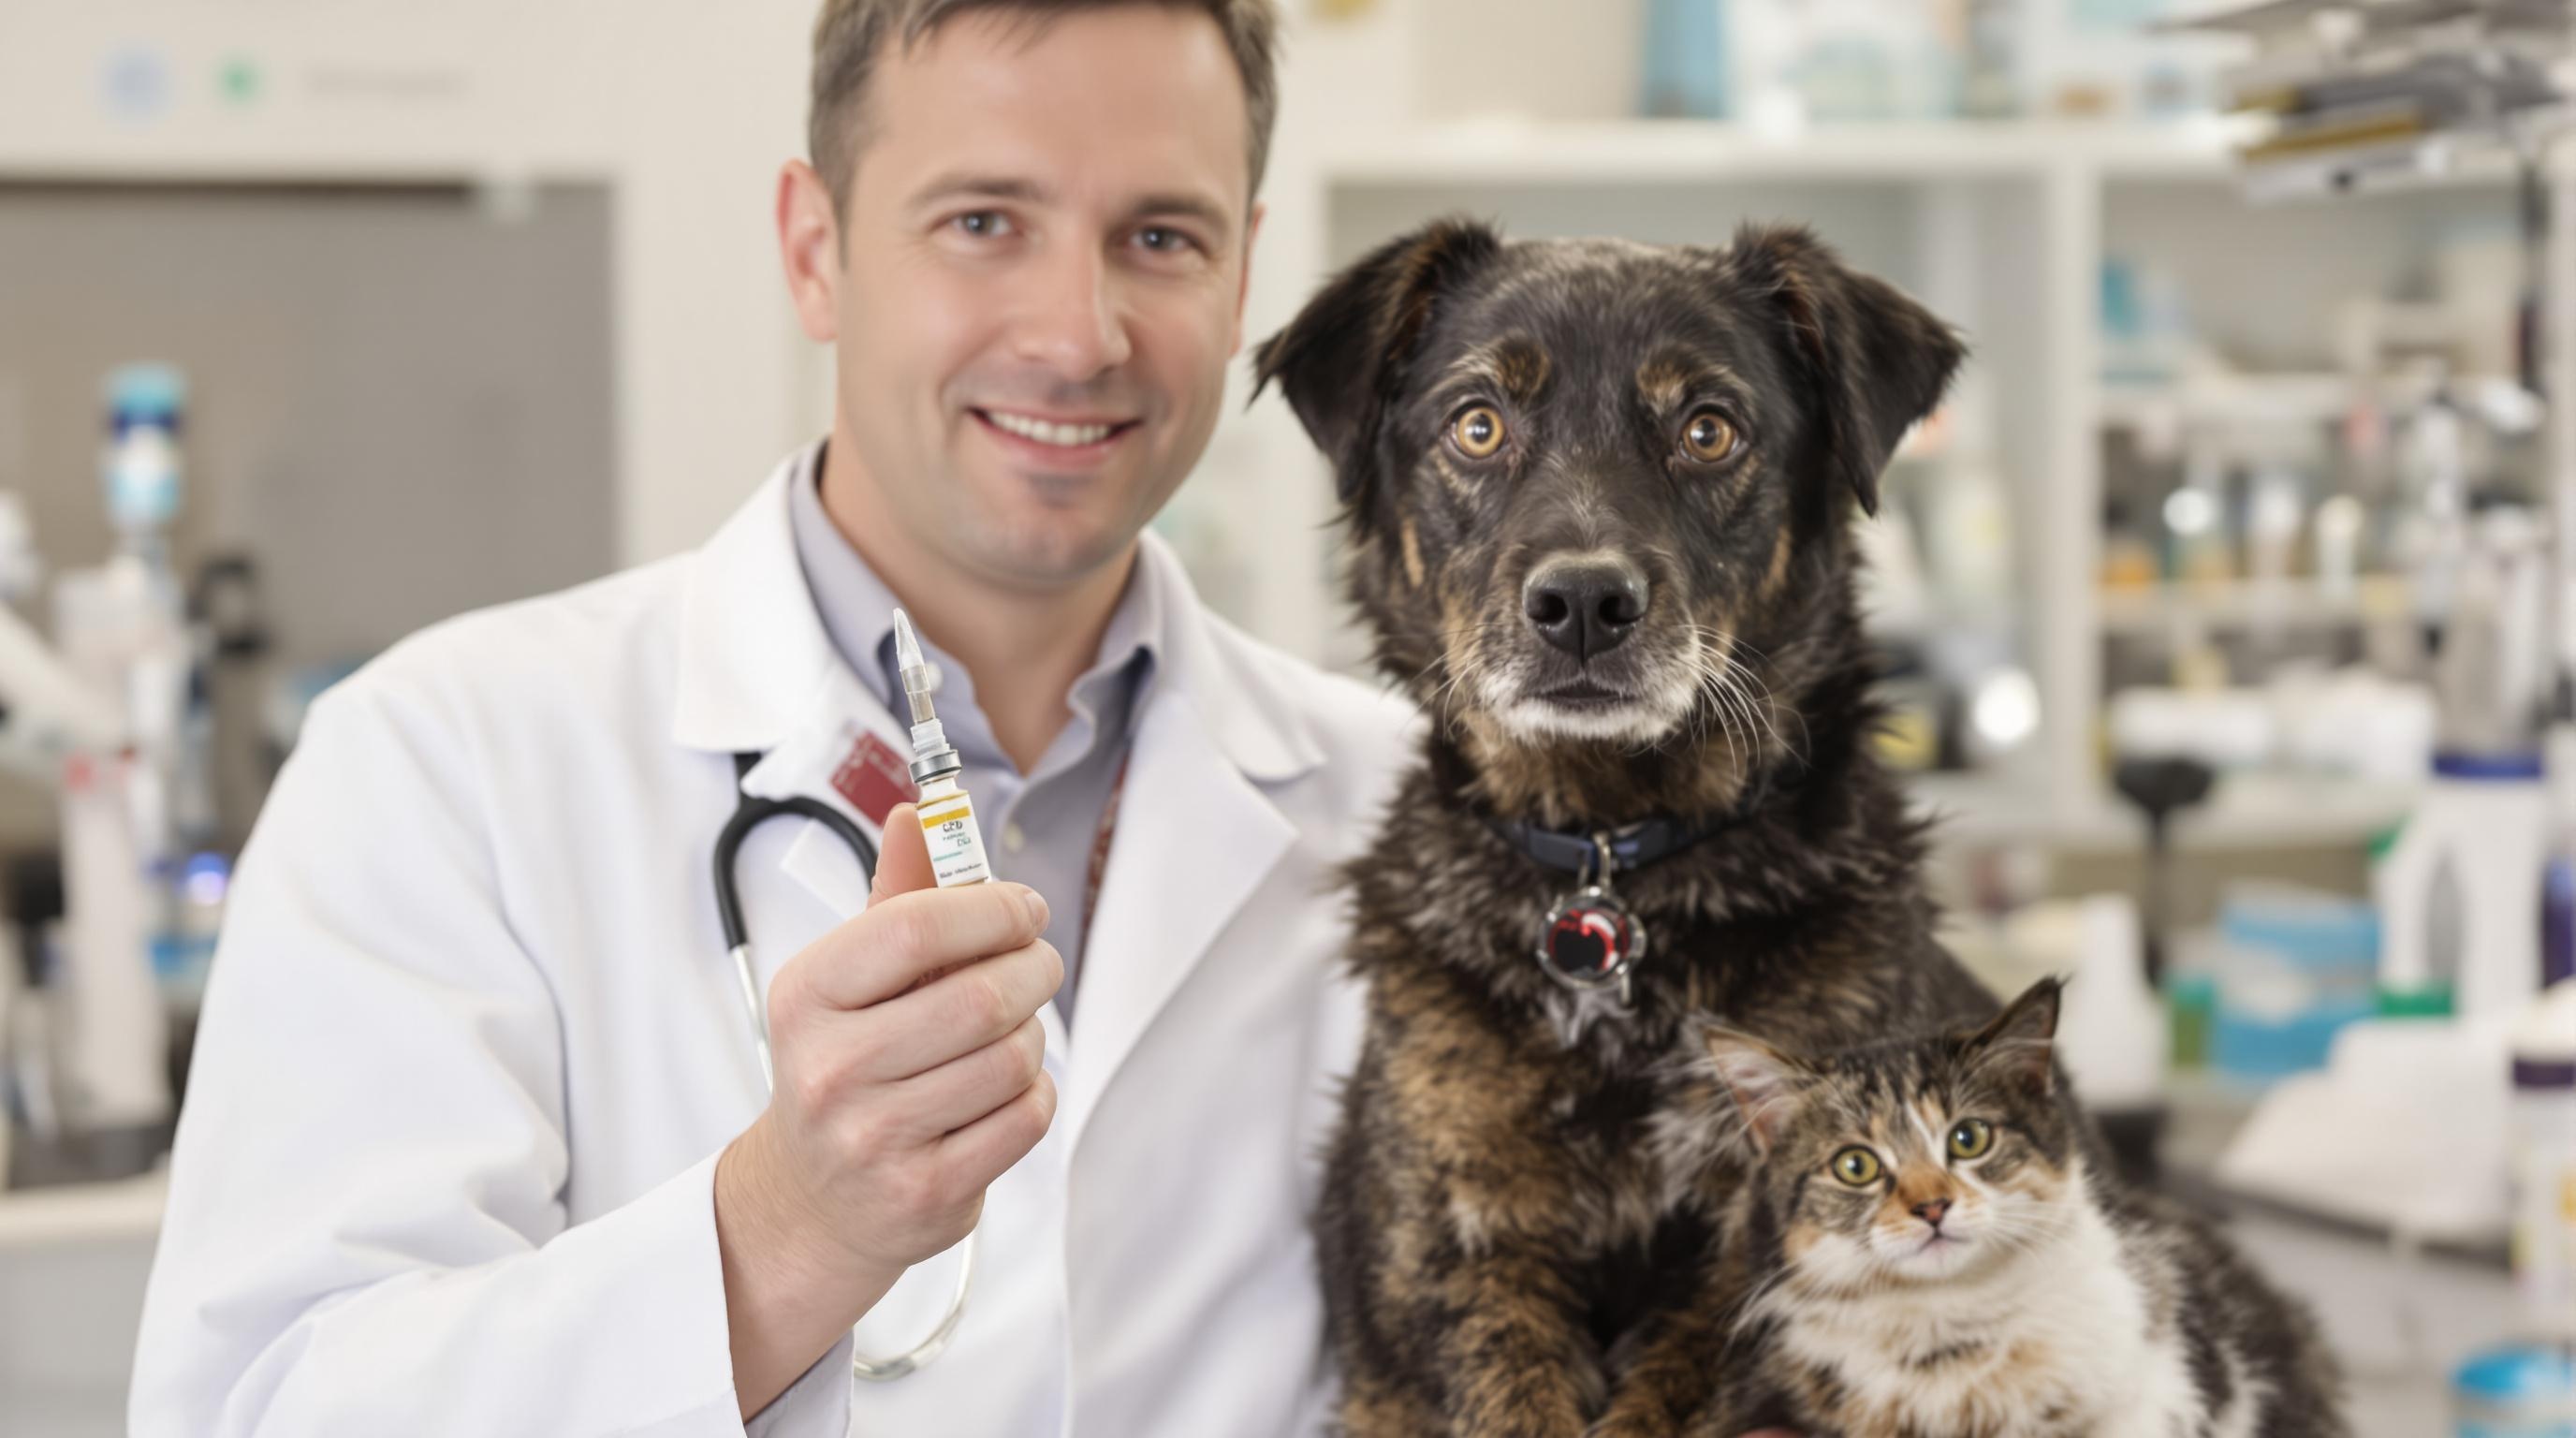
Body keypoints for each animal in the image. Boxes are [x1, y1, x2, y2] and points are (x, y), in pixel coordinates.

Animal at [1256, 225, 1998, 1438]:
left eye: (1707, 429)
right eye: (1477, 424)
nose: (1583, 606)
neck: (1609, 868)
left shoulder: (1756, 1266)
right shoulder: (1460, 1251)